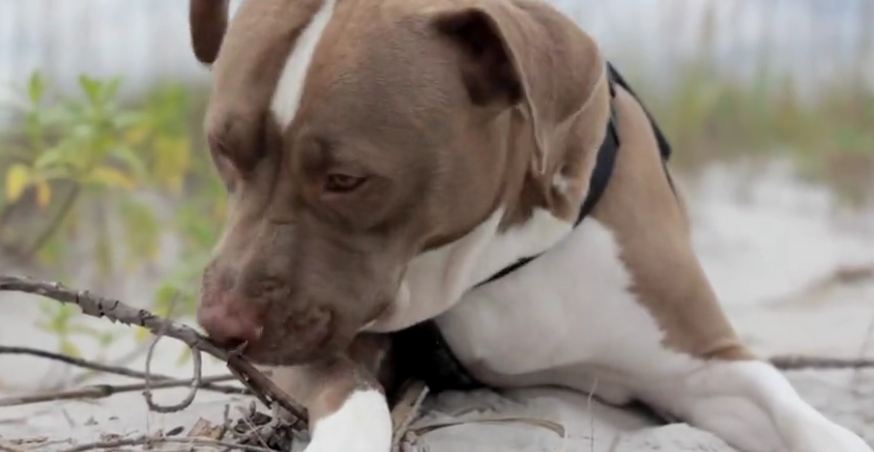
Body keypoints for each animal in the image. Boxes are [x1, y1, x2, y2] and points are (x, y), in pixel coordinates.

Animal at [187, 0, 868, 452]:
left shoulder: (704, 364)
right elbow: (352, 400)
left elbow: (801, 418)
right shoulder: (321, 349)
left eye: (346, 180)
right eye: (221, 150)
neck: (493, 258)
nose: (221, 325)